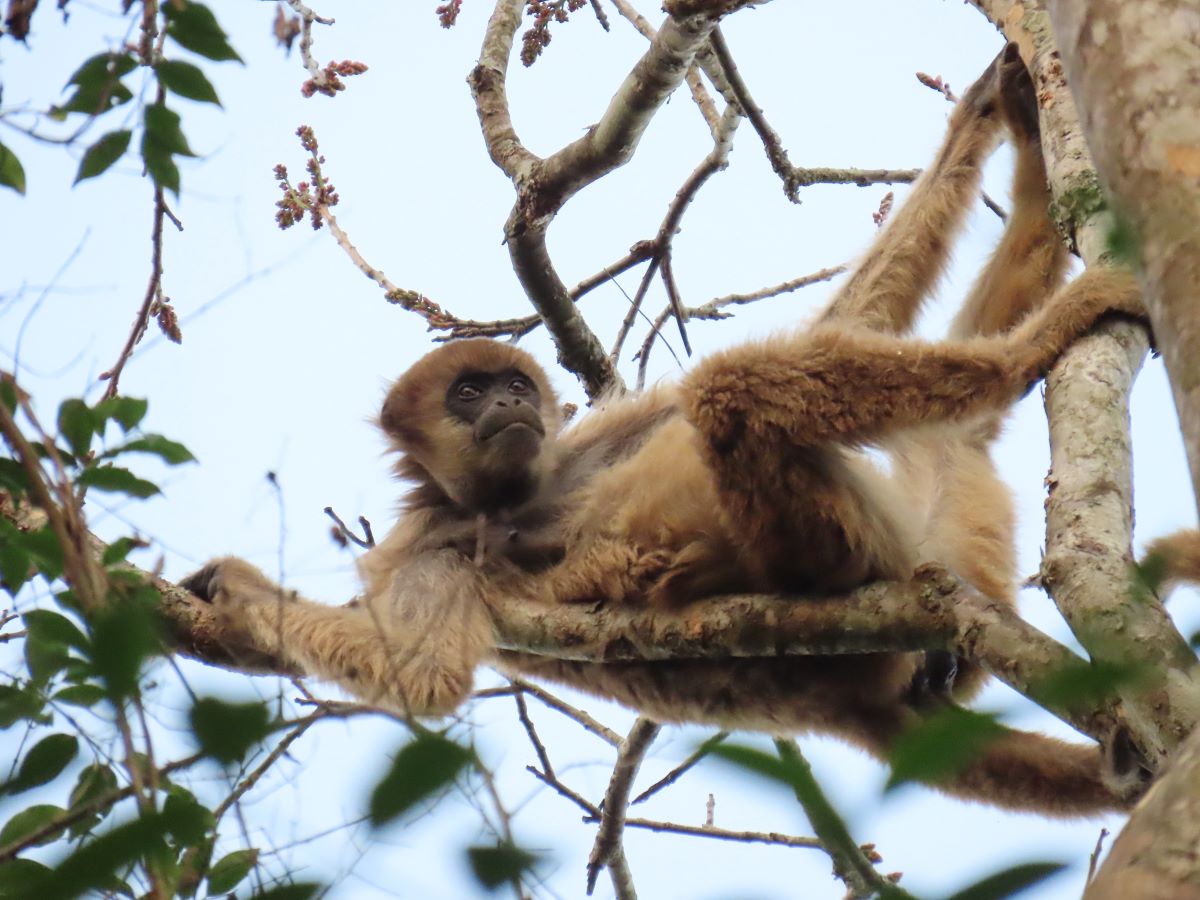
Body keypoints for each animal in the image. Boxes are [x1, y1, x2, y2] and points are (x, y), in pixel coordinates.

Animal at [184, 52, 1142, 820]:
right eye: (467, 393)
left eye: (513, 387)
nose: (507, 405)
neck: (505, 503)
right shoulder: (425, 543)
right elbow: (420, 678)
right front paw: (233, 591)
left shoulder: (568, 448)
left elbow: (845, 317)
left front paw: (981, 110)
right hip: (844, 547)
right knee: (744, 392)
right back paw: (1030, 347)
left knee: (900, 425)